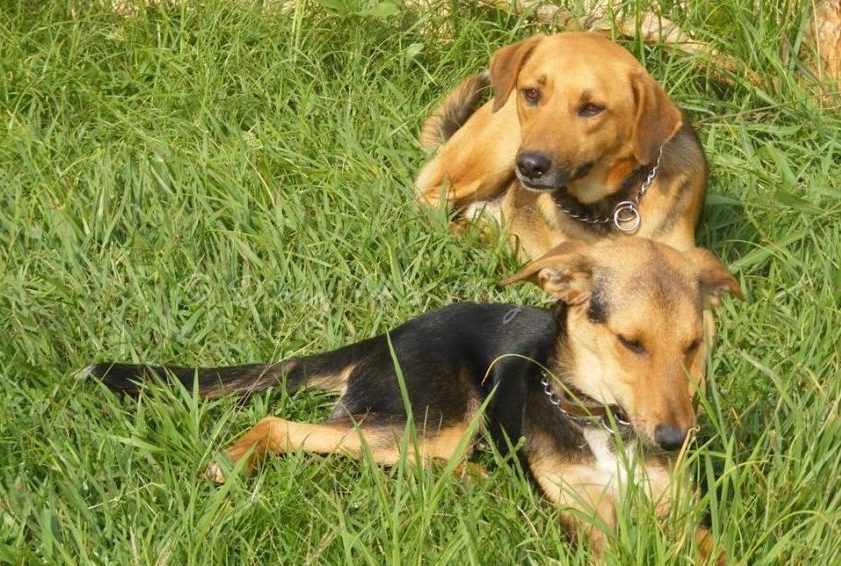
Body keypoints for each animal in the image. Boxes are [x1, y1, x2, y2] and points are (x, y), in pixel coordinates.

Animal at [416, 31, 704, 262]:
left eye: (592, 108)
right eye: (531, 93)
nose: (530, 166)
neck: (607, 207)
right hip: (493, 156)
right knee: (429, 200)